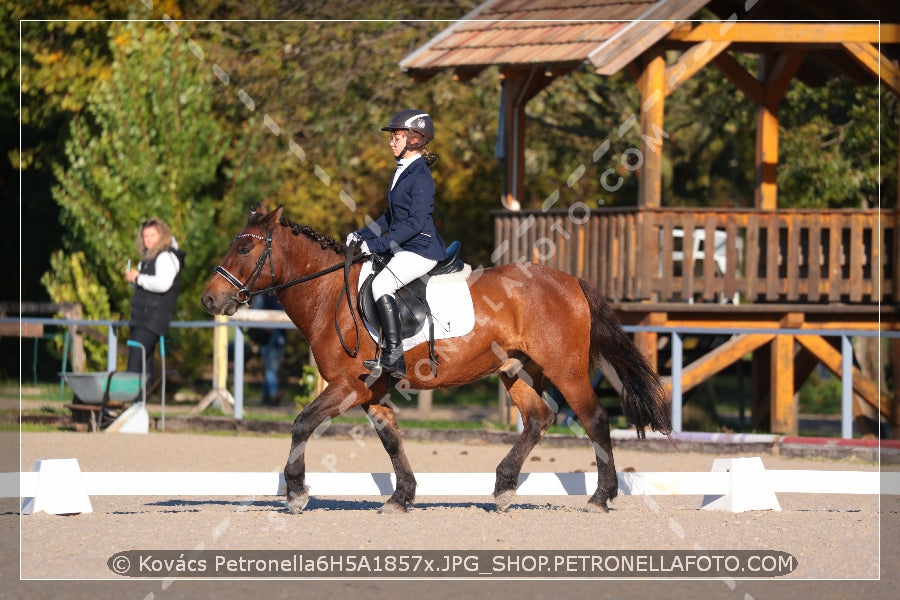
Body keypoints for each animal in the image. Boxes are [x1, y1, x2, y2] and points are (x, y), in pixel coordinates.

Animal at [202, 204, 668, 512]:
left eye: (244, 249)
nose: (210, 299)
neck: (330, 294)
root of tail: (570, 280)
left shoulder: (347, 385)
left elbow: (302, 423)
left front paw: (297, 493)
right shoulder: (371, 392)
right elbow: (391, 440)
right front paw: (401, 496)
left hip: (565, 370)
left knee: (595, 420)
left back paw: (600, 496)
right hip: (516, 370)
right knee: (538, 418)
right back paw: (503, 488)